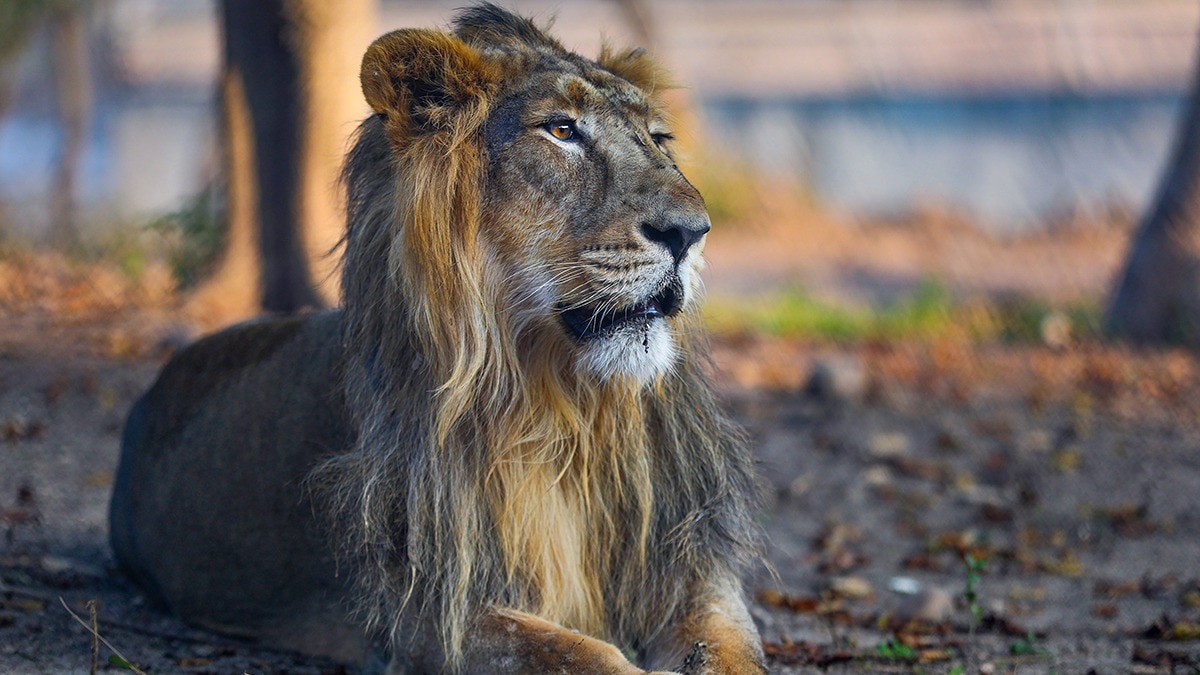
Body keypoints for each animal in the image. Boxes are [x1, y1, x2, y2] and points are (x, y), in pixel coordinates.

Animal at [109, 4, 765, 673]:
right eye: (561, 130)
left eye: (659, 139)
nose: (692, 232)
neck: (558, 407)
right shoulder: (425, 613)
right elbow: (579, 654)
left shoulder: (689, 572)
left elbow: (730, 649)